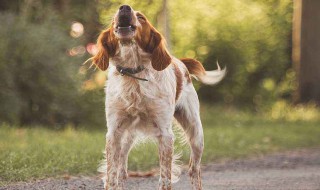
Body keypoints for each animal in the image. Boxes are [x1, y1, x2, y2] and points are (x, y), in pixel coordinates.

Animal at [91, 4, 226, 190]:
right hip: (127, 136)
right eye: (113, 19)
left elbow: (165, 177)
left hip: (196, 132)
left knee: (194, 170)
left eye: (141, 17)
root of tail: (181, 63)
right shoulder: (114, 131)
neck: (134, 75)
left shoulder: (165, 134)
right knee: (121, 169)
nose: (124, 7)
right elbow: (111, 174)